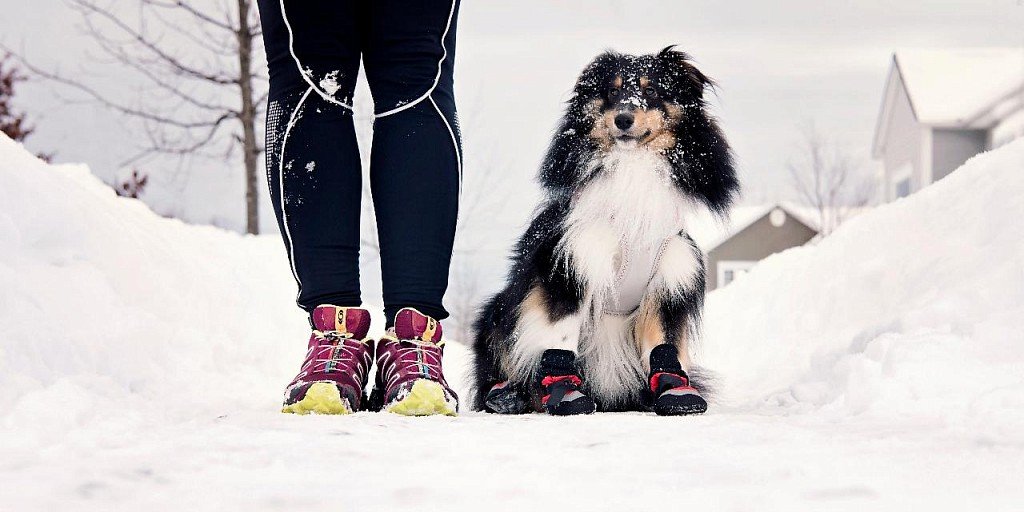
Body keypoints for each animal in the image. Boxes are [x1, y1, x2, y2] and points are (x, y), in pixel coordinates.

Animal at [471, 47, 737, 415]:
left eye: (652, 90)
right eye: (611, 91)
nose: (623, 119)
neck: (633, 164)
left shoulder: (672, 273)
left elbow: (664, 341)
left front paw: (675, 393)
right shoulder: (572, 261)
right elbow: (559, 336)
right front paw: (566, 394)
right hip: (497, 312)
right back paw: (507, 396)